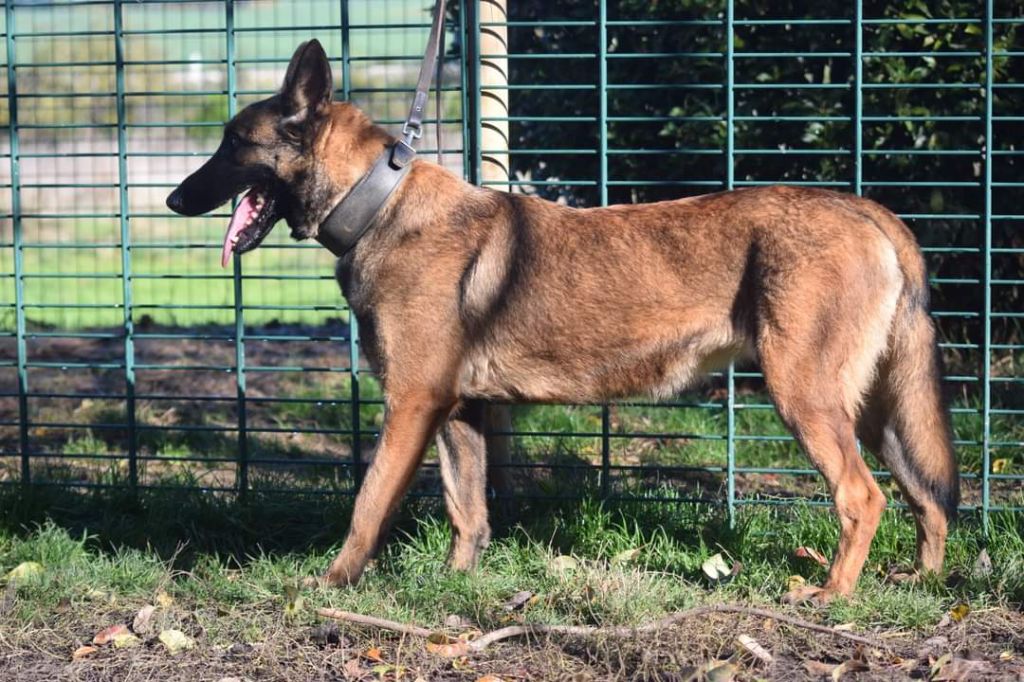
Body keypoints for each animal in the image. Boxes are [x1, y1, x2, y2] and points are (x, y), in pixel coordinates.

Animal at [167, 39, 958, 602]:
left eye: (233, 143)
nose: (174, 199)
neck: (378, 203)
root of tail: (868, 211)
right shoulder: (460, 414)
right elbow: (468, 511)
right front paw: (457, 585)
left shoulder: (411, 406)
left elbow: (369, 505)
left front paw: (333, 583)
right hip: (876, 412)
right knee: (927, 495)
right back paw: (923, 582)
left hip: (806, 398)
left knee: (862, 497)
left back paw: (831, 595)